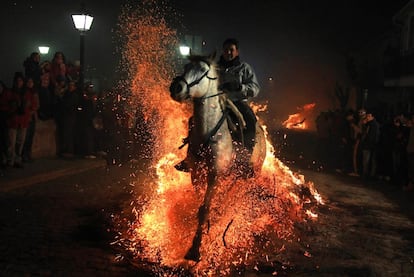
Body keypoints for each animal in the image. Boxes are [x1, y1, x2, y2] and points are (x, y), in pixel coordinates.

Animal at [168, 54, 266, 260]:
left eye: (203, 70)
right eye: (186, 66)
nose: (176, 87)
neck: (209, 133)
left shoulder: (215, 175)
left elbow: (205, 208)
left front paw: (195, 249)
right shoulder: (196, 173)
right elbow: (199, 204)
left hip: (250, 173)